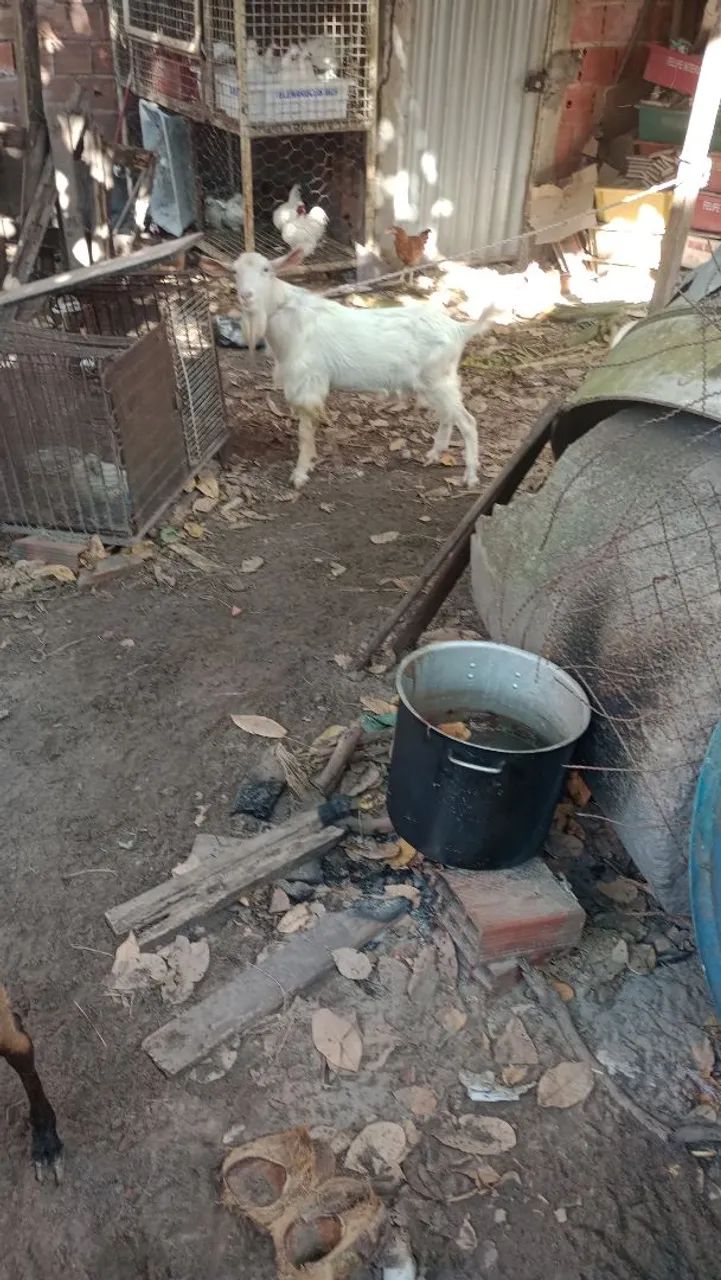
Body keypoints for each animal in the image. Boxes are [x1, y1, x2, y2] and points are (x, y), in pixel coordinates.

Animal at [233, 248, 497, 490]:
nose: (246, 296)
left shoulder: (308, 382)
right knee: (447, 415)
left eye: (266, 269)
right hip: (433, 382)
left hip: (438, 379)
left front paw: (300, 474)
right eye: (235, 272)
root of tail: (459, 329)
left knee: (468, 422)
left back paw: (470, 476)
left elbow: (305, 431)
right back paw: (434, 455)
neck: (288, 315)